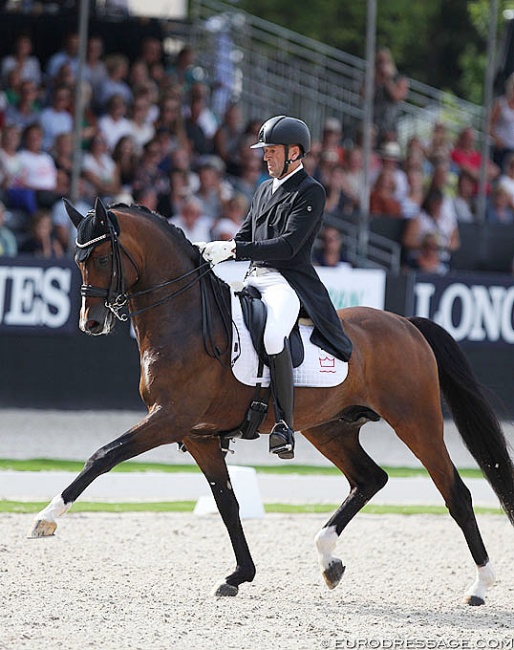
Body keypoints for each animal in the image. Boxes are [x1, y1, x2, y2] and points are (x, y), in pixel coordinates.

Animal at [29, 198, 514, 605]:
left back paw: (480, 585)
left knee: (455, 491)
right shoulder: (198, 434)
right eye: (78, 261)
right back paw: (329, 559)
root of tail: (407, 324)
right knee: (369, 479)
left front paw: (46, 518)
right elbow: (227, 503)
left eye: (102, 258)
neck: (183, 322)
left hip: (415, 421)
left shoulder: (169, 418)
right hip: (330, 428)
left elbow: (103, 455)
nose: (91, 323)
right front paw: (239, 575)